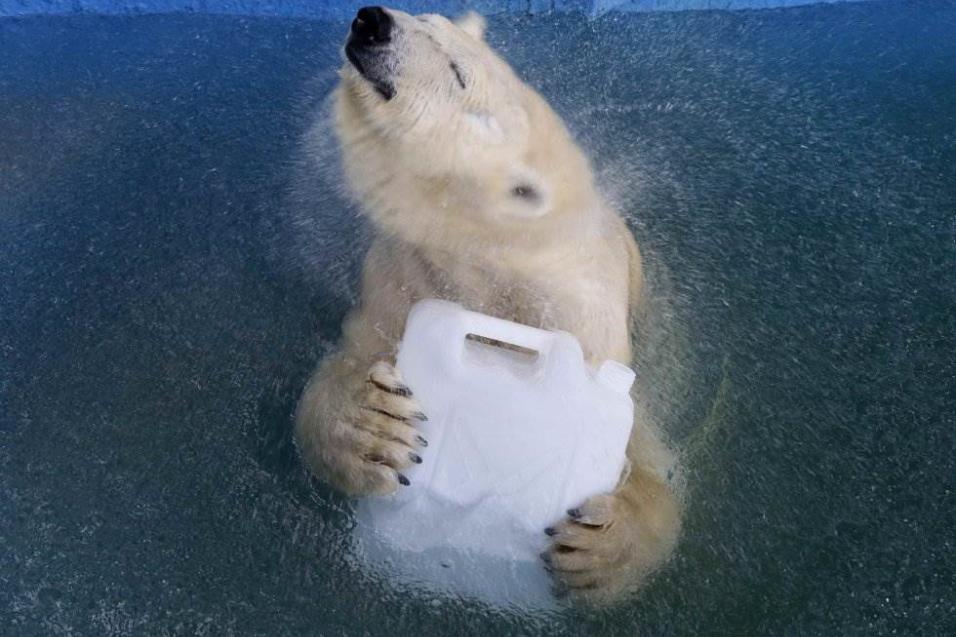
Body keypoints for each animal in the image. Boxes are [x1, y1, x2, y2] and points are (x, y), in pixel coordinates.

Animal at [296, 4, 684, 604]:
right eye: (427, 17)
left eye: (457, 70)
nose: (372, 20)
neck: (491, 268)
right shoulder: (395, 280)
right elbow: (348, 367)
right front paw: (374, 431)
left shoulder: (590, 327)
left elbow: (649, 456)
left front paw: (600, 544)